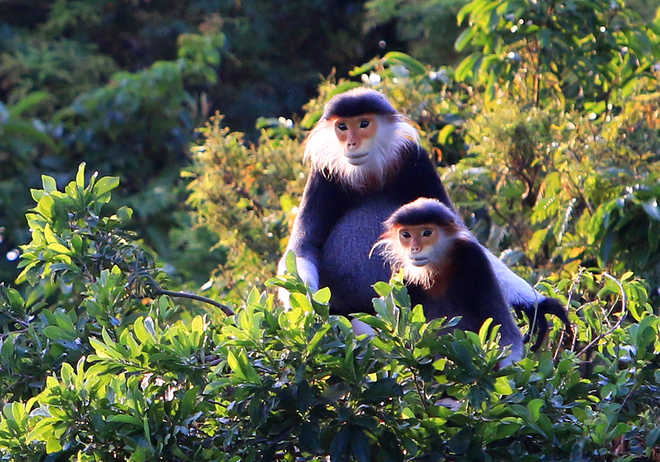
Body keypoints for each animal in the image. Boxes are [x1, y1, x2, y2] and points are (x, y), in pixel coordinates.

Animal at [376, 197, 524, 362]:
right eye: (406, 234)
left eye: (426, 233)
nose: (414, 249)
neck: (437, 268)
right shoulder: (400, 272)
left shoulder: (474, 256)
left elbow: (508, 334)